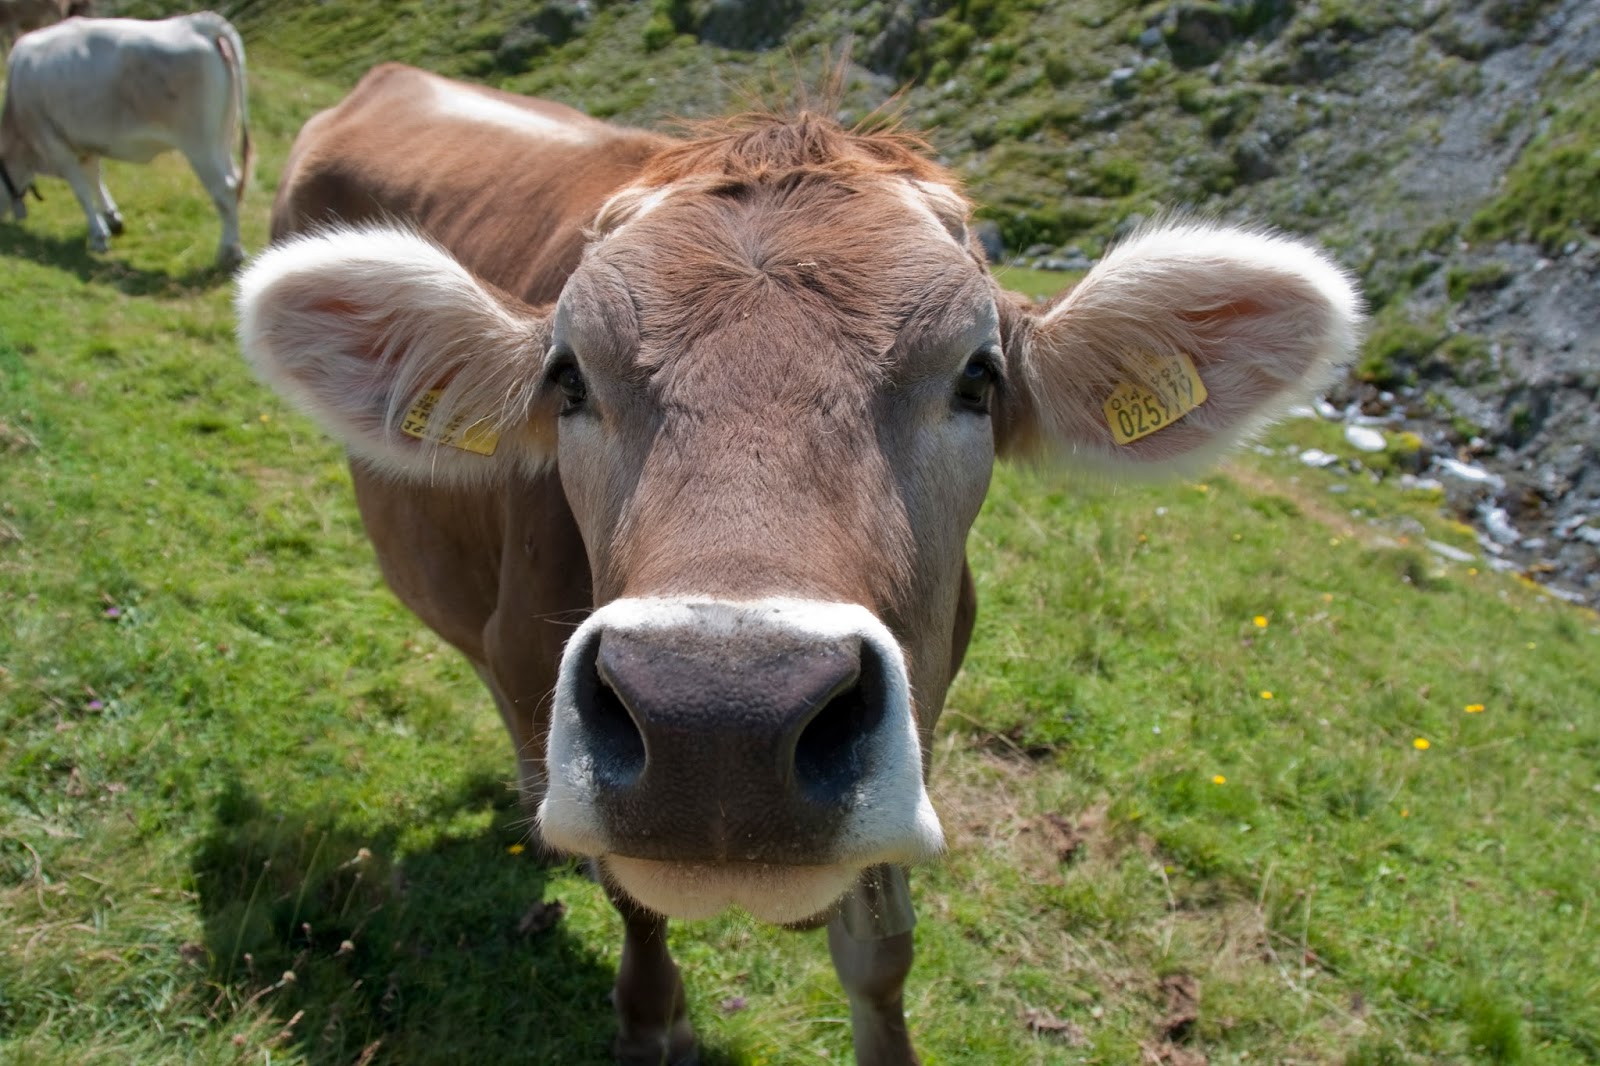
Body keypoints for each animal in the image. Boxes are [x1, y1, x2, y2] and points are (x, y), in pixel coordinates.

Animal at [0, 11, 252, 268]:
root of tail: (194, 24)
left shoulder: (55, 146)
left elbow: (82, 191)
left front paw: (99, 236)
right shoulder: (85, 144)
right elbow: (95, 178)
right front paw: (112, 219)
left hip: (199, 145)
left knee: (223, 189)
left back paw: (229, 252)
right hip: (222, 137)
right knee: (235, 181)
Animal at [236, 63, 1361, 1065]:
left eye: (978, 377)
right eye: (568, 378)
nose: (719, 724)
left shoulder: (915, 720)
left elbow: (881, 951)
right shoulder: (535, 664)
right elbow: (633, 896)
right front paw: (652, 1025)